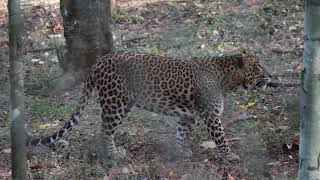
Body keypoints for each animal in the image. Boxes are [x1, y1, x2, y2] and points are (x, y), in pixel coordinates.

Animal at [27, 49, 272, 160]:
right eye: (259, 67)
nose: (271, 76)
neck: (228, 79)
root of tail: (100, 61)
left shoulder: (187, 115)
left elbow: (181, 133)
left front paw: (181, 152)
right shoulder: (211, 116)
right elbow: (221, 137)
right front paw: (230, 156)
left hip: (123, 104)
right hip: (115, 104)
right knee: (105, 130)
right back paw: (114, 155)